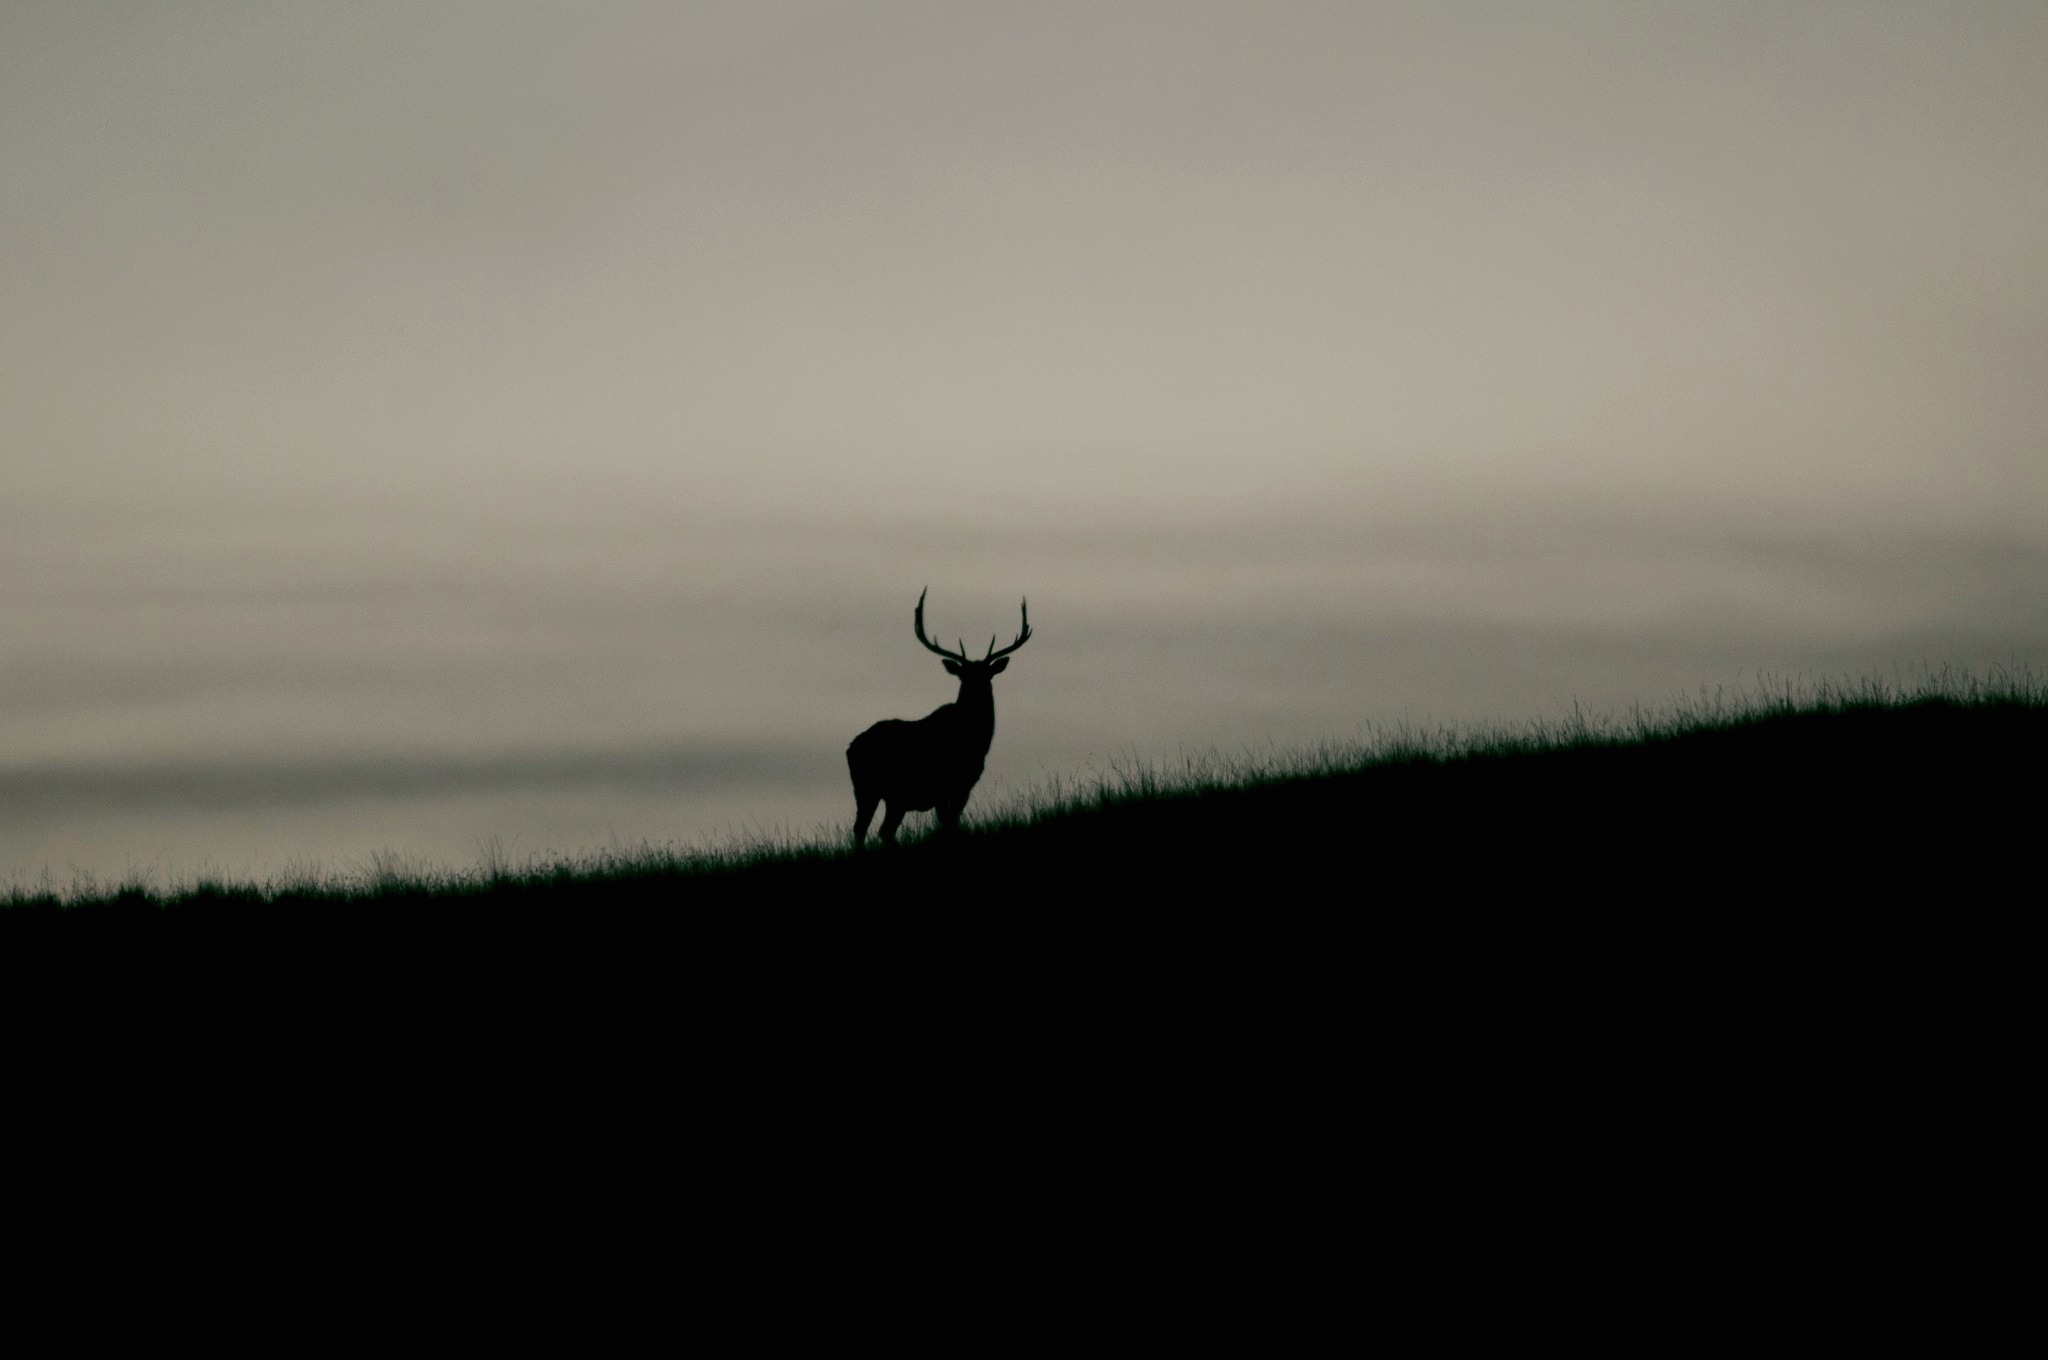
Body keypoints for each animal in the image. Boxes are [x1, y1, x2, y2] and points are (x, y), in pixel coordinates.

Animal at [847, 589, 1032, 849]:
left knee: (879, 830)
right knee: (865, 828)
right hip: (869, 788)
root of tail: (850, 748)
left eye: (988, 674)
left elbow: (952, 822)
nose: (977, 690)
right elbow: (946, 824)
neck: (976, 743)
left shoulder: (964, 786)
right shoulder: (942, 787)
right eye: (964, 675)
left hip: (890, 796)